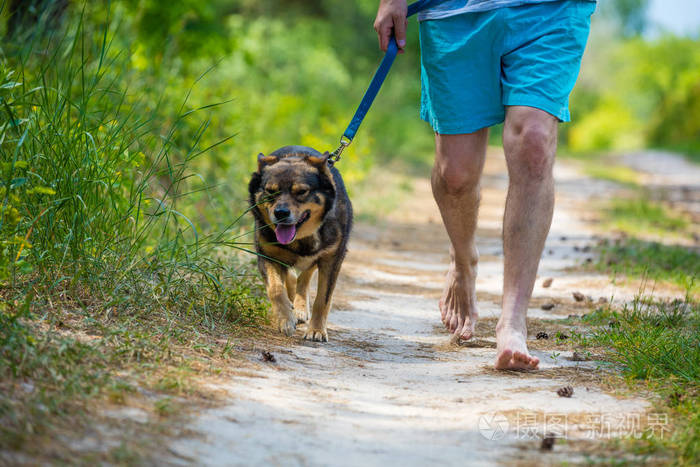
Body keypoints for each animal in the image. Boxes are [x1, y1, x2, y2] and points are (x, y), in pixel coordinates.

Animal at [249, 144, 352, 342]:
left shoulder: (332, 259)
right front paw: (286, 320)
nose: (281, 213)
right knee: (292, 277)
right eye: (270, 191)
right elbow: (276, 290)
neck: (301, 238)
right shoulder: (267, 254)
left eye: (302, 192)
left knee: (305, 276)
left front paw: (317, 330)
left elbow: (323, 299)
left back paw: (300, 308)